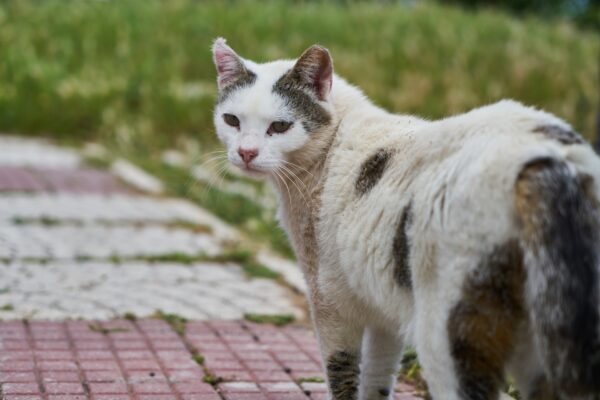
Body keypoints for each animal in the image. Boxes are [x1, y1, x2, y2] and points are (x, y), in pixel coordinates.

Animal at [210, 36, 600, 398]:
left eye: (279, 127)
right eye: (232, 121)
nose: (246, 152)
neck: (333, 144)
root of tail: (548, 156)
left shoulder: (331, 306)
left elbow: (343, 376)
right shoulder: (383, 312)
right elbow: (378, 378)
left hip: (450, 334)